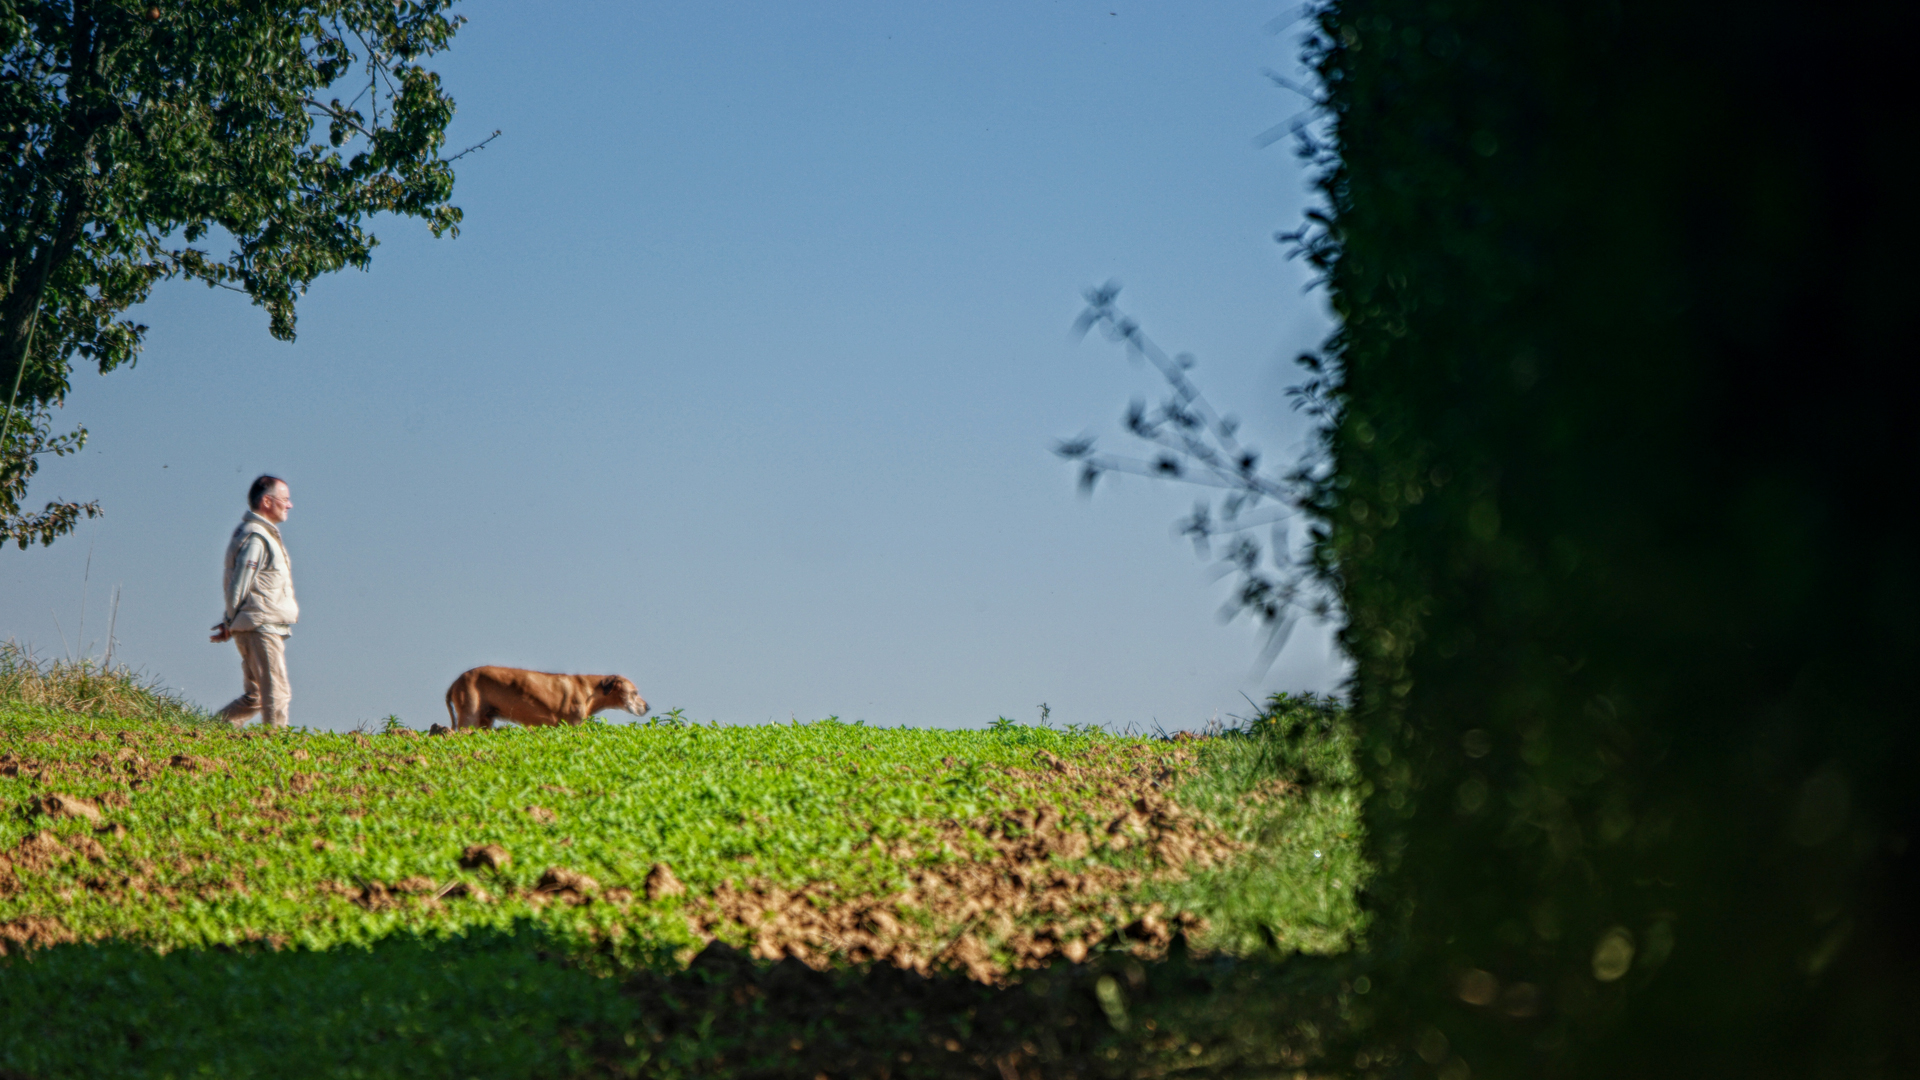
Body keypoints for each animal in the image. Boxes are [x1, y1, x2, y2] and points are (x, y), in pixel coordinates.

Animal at [443, 661, 648, 726]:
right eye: (635, 693)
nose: (648, 707)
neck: (590, 690)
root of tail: (455, 682)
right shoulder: (573, 725)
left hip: (484, 721)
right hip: (469, 717)